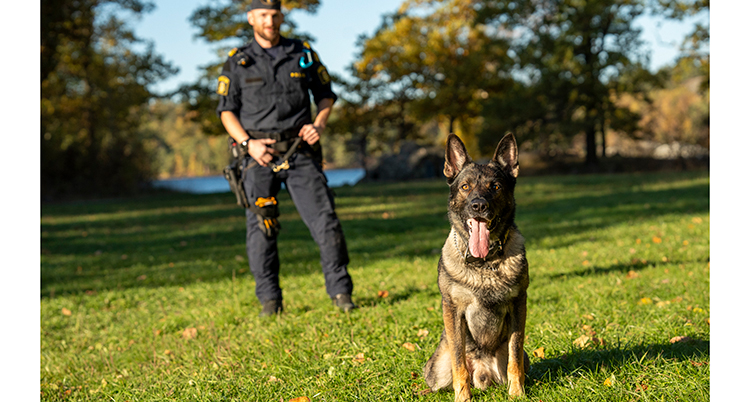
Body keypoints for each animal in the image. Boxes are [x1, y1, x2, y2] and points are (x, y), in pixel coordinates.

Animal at [426, 133, 532, 398]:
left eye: (495, 187)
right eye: (465, 187)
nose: (479, 206)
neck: (484, 263)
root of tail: (483, 375)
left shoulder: (519, 305)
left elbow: (514, 357)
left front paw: (517, 394)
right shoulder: (452, 310)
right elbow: (459, 362)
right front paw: (463, 398)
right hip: (435, 370)